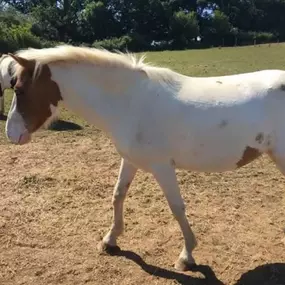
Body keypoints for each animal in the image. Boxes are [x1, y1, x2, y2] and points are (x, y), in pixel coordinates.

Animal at [3, 45, 284, 270]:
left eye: (19, 89)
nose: (11, 134)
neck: (130, 102)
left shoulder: (163, 167)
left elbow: (177, 208)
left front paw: (187, 256)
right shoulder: (130, 161)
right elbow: (118, 194)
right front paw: (110, 240)